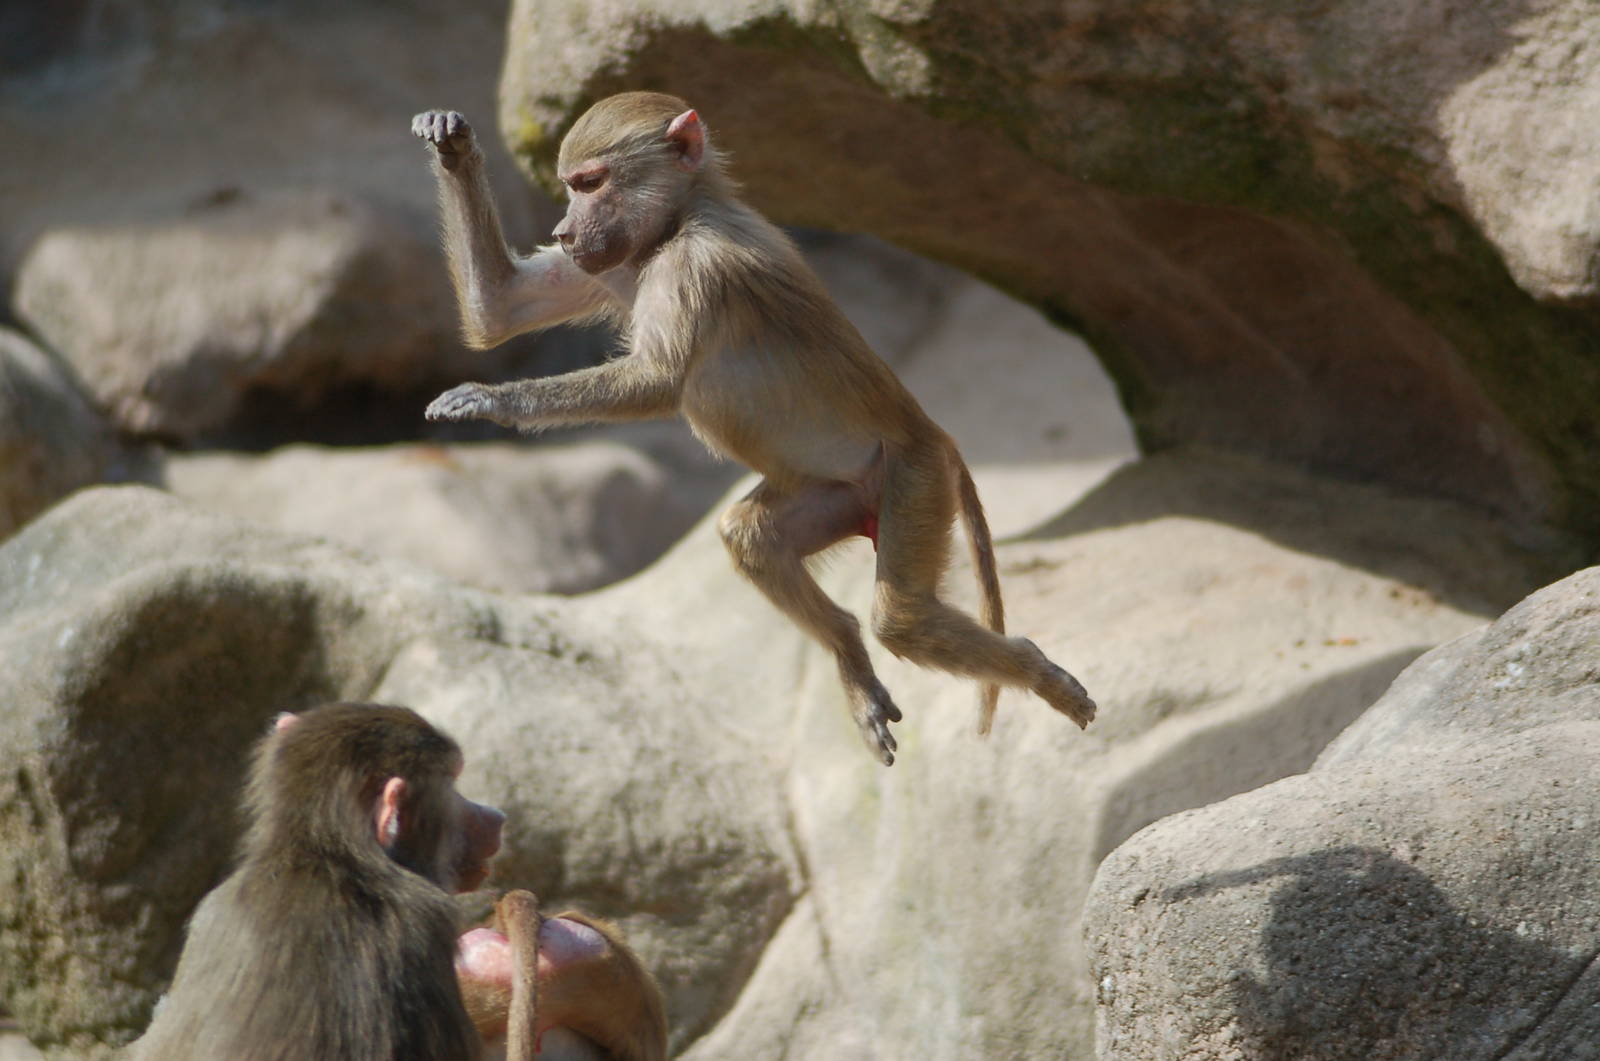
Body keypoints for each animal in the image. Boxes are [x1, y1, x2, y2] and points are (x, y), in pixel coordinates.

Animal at [411, 95, 1096, 765]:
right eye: (571, 186)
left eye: (591, 182)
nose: (563, 231)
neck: (679, 221)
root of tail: (937, 435)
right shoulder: (610, 261)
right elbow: (502, 308)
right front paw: (449, 140)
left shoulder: (697, 264)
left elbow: (657, 384)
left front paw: (486, 401)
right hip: (840, 496)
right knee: (751, 536)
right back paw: (852, 660)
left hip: (914, 476)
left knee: (904, 618)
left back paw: (1037, 672)